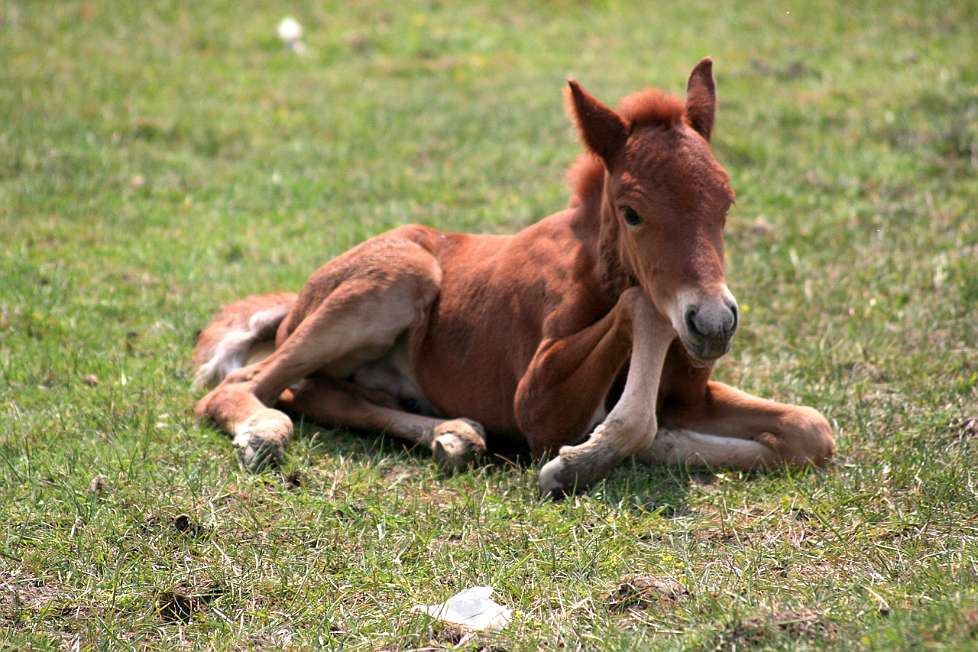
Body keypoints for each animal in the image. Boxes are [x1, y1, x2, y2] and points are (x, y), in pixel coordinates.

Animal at [191, 58, 832, 496]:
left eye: (726, 202)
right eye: (632, 212)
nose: (713, 323)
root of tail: (300, 293)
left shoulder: (691, 395)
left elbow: (812, 429)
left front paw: (666, 441)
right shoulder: (537, 403)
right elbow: (641, 307)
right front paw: (583, 458)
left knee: (324, 395)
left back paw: (454, 435)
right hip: (400, 275)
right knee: (244, 385)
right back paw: (263, 433)